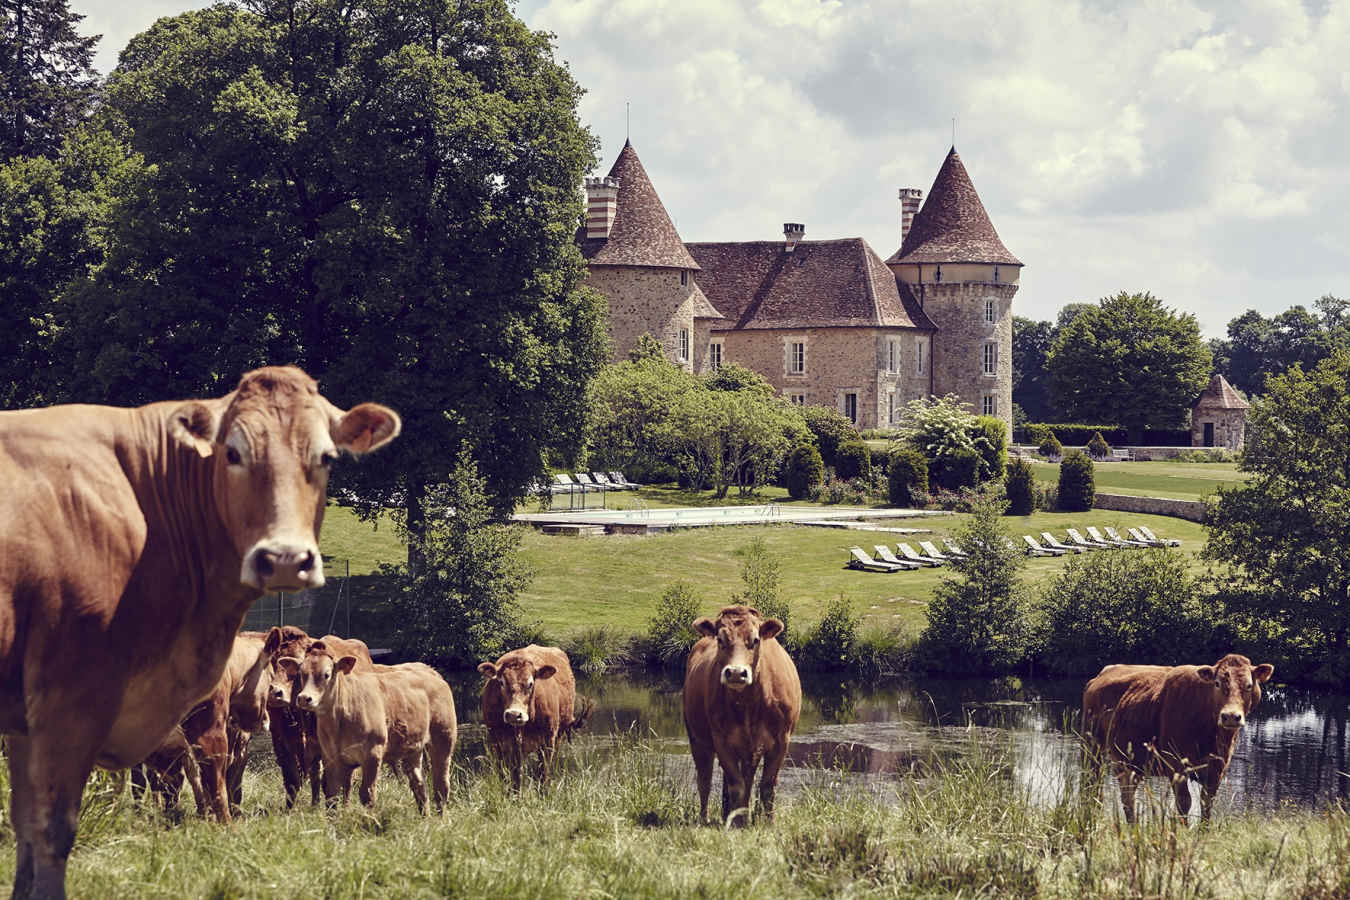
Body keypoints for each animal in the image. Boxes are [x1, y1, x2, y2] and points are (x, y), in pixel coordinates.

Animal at [263, 626, 376, 807]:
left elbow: (328, 781)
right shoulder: (282, 741)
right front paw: (293, 809)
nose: (274, 692)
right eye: (272, 661)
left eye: (297, 663)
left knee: (347, 779)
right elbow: (293, 779)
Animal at [282, 642, 456, 812]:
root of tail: (432, 673)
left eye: (326, 674)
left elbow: (367, 794)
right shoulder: (331, 756)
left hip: (444, 739)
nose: (304, 698)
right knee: (420, 786)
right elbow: (332, 795)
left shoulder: (373, 753)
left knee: (441, 786)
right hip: (412, 748)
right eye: (301, 674)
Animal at [478, 645, 590, 791]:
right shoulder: (497, 742)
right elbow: (510, 777)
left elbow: (543, 776)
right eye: (501, 682)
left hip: (559, 735)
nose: (514, 714)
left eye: (530, 684)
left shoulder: (548, 740)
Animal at [682, 605, 801, 825]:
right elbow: (737, 786)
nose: (737, 673)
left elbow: (767, 785)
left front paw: (768, 822)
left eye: (755, 640)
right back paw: (707, 818)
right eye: (720, 639)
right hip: (698, 740)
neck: (749, 704)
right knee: (705, 781)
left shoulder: (781, 741)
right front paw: (738, 822)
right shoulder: (721, 741)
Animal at [1082, 654, 1275, 823]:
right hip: (1092, 748)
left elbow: (1207, 803)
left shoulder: (1218, 766)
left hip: (1129, 761)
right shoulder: (1176, 763)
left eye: (1249, 685)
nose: (1231, 716)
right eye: (1217, 683)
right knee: (1093, 787)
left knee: (1127, 796)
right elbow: (1184, 803)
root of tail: (1102, 674)